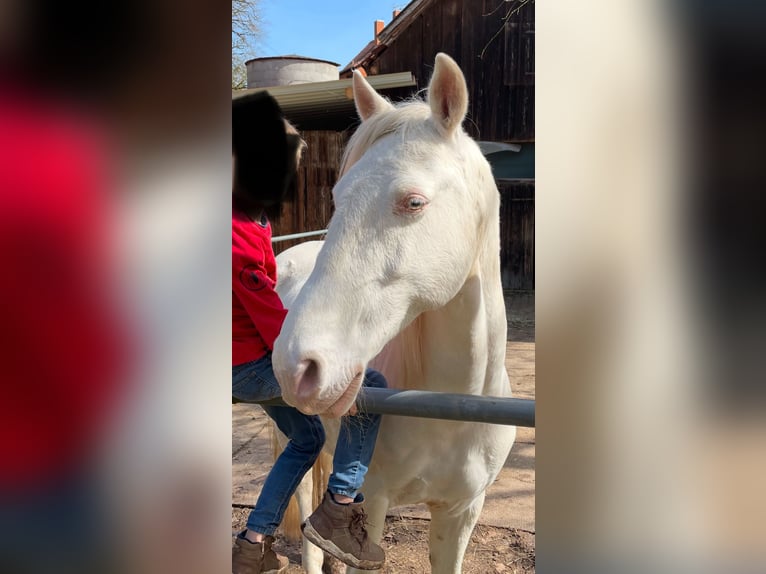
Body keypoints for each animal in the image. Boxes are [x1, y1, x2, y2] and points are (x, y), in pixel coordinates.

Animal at [270, 51, 516, 572]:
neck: (451, 410)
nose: (295, 366)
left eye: (414, 202)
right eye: (337, 199)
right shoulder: (374, 507)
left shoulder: (461, 512)